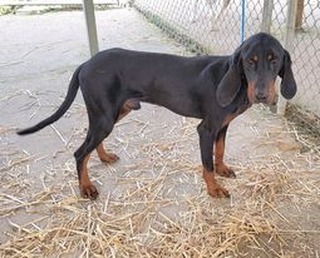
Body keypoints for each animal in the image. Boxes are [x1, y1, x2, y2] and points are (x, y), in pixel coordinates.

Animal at [17, 32, 298, 200]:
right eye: (250, 61)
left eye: (274, 60)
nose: (262, 95)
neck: (236, 82)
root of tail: (86, 64)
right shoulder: (206, 129)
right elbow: (206, 164)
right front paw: (214, 188)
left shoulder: (222, 127)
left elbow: (219, 151)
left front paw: (223, 170)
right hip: (105, 116)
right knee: (79, 153)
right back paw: (86, 187)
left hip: (113, 113)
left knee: (92, 144)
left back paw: (104, 158)